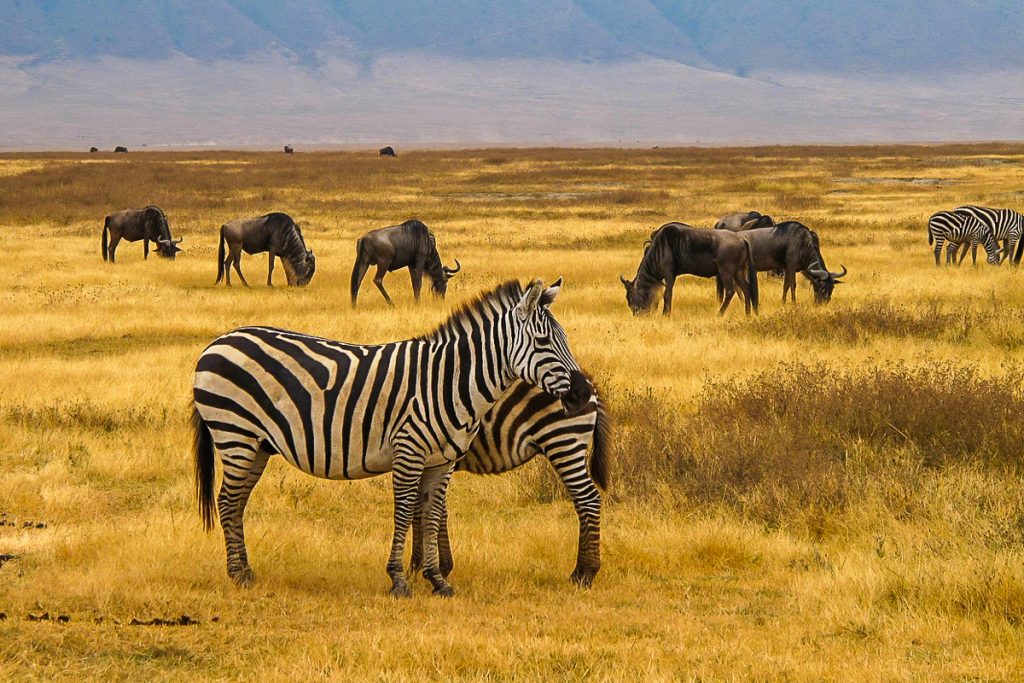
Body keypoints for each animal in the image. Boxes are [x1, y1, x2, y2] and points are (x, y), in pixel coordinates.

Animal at [411, 385, 610, 589]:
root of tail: (590, 385)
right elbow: (434, 510)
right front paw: (439, 566)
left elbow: (422, 511)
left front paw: (419, 566)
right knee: (581, 503)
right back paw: (578, 573)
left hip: (562, 442)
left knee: (588, 499)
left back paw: (588, 574)